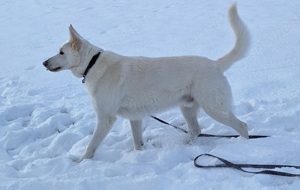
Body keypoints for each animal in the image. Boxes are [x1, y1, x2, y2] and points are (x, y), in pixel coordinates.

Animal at [42, 3, 248, 162]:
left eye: (61, 52)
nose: (44, 63)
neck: (92, 64)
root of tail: (215, 64)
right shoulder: (135, 118)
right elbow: (137, 142)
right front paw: (139, 155)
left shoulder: (105, 118)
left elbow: (91, 146)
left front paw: (81, 162)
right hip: (187, 108)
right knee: (196, 130)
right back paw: (183, 145)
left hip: (214, 109)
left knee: (242, 126)